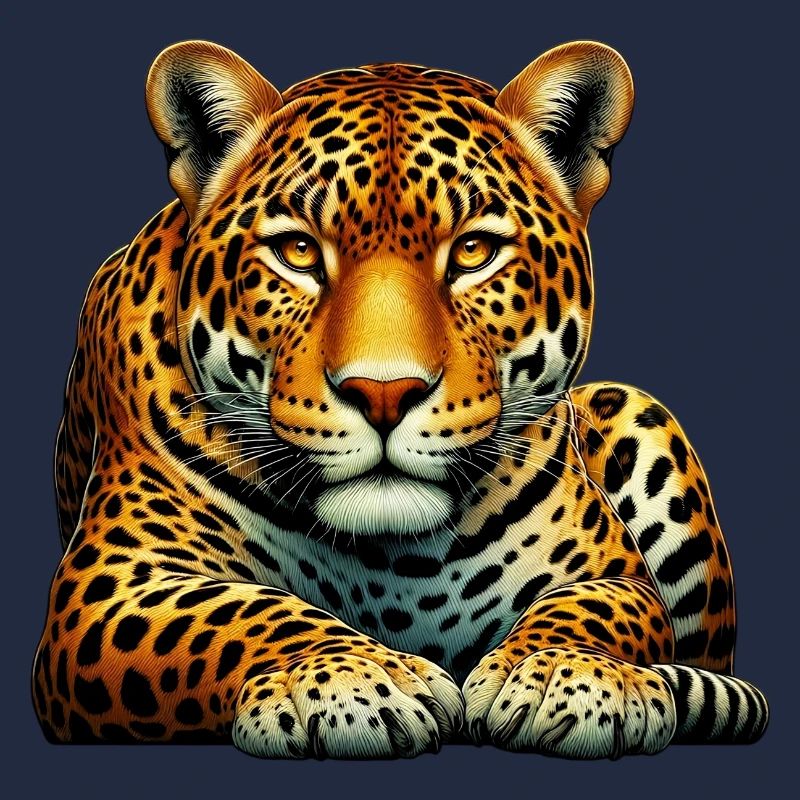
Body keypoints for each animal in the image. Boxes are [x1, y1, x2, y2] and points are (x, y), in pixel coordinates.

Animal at [32, 39, 768, 759]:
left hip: (639, 409)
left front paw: (566, 673)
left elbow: (596, 609)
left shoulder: (615, 574)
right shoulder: (109, 587)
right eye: (297, 251)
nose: (383, 394)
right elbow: (234, 614)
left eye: (473, 251)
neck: (394, 558)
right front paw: (352, 678)